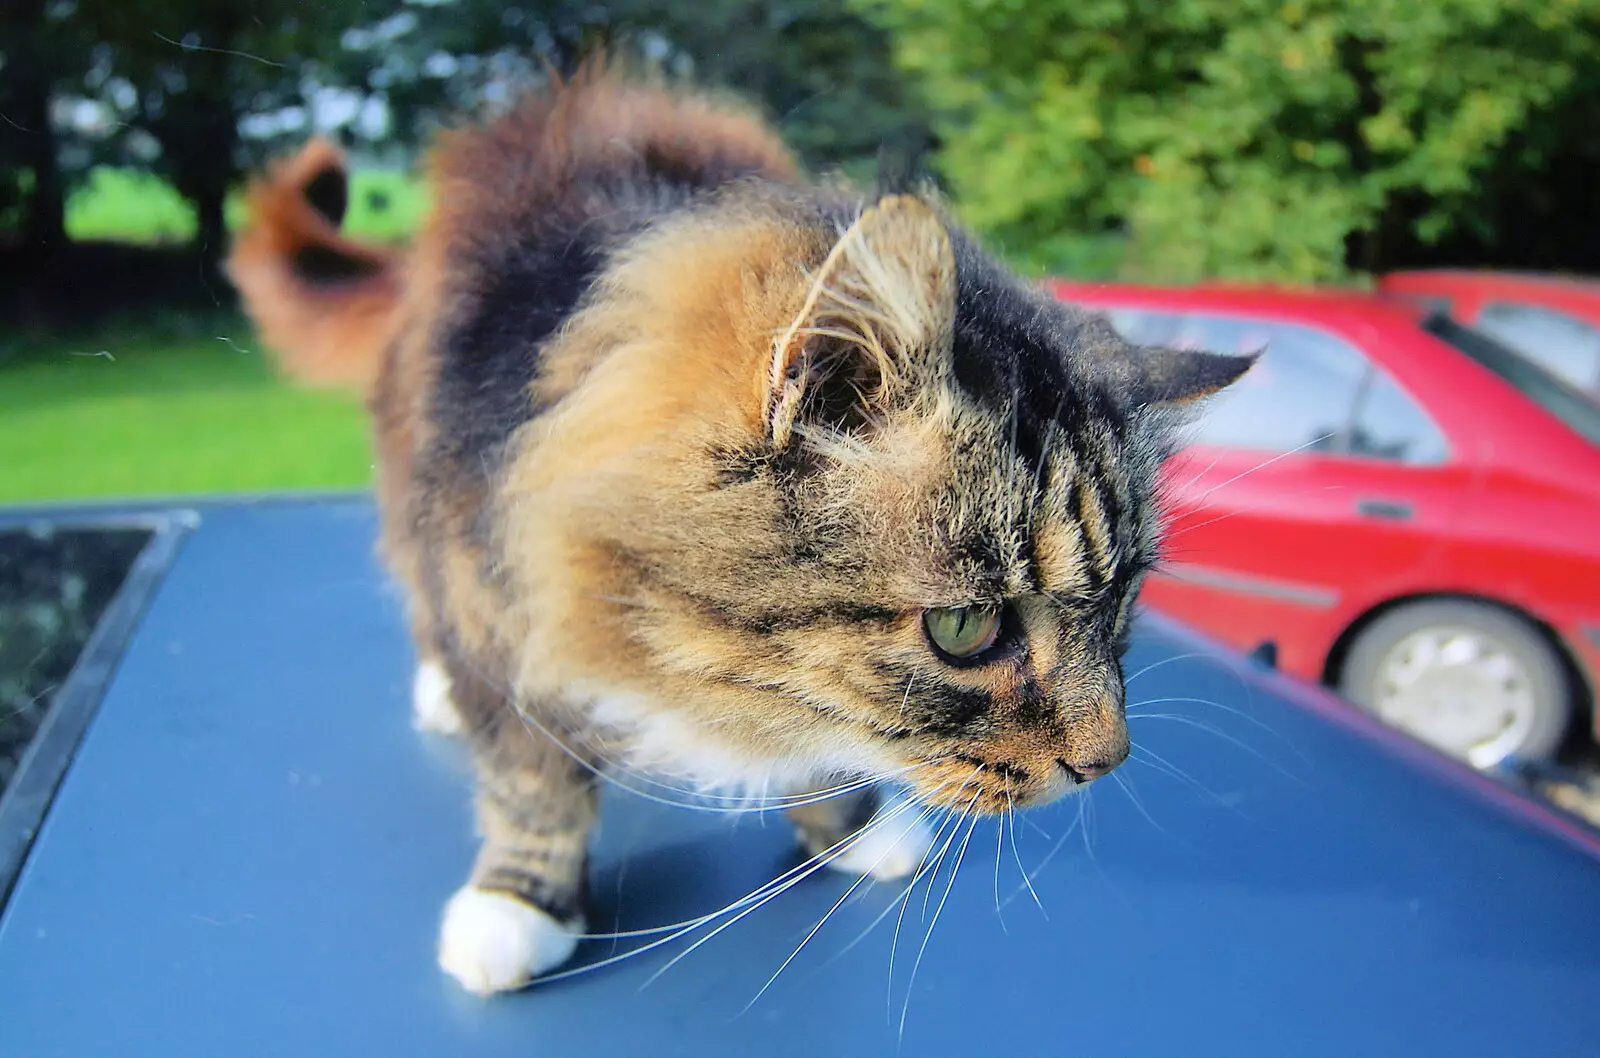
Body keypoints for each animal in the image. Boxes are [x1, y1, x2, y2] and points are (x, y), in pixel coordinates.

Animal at [225, 60, 1254, 998]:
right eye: (964, 630)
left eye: (1122, 604)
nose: (1108, 763)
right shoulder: (488, 588)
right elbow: (530, 778)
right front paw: (517, 905)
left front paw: (853, 824)